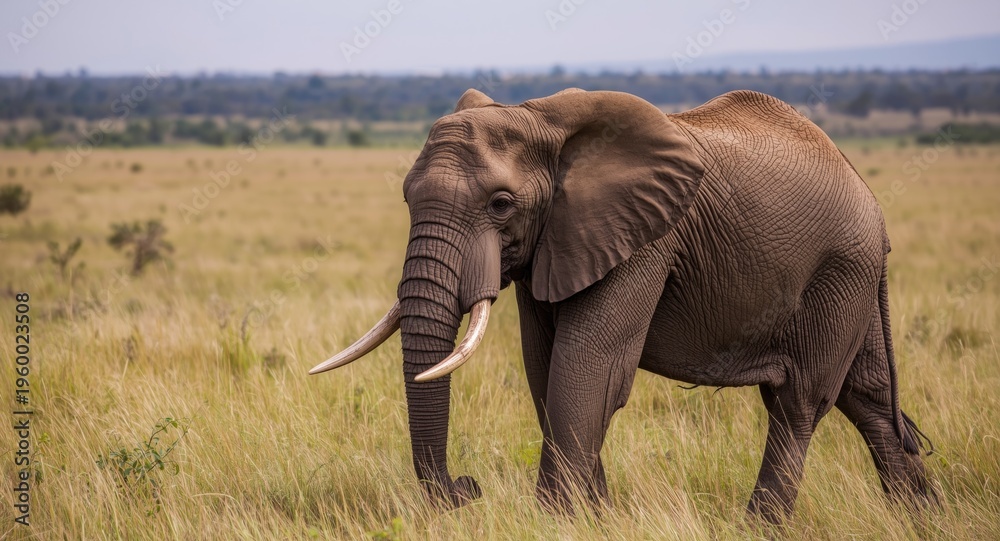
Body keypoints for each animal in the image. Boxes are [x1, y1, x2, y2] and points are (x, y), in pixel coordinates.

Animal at [309, 87, 934, 522]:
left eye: (501, 204)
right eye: (406, 199)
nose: (467, 488)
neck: (540, 117)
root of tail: (870, 200)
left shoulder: (643, 240)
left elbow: (587, 372)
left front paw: (559, 524)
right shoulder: (556, 241)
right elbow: (546, 370)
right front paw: (596, 520)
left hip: (838, 271)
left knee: (799, 402)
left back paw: (762, 526)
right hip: (850, 281)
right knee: (868, 398)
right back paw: (923, 518)